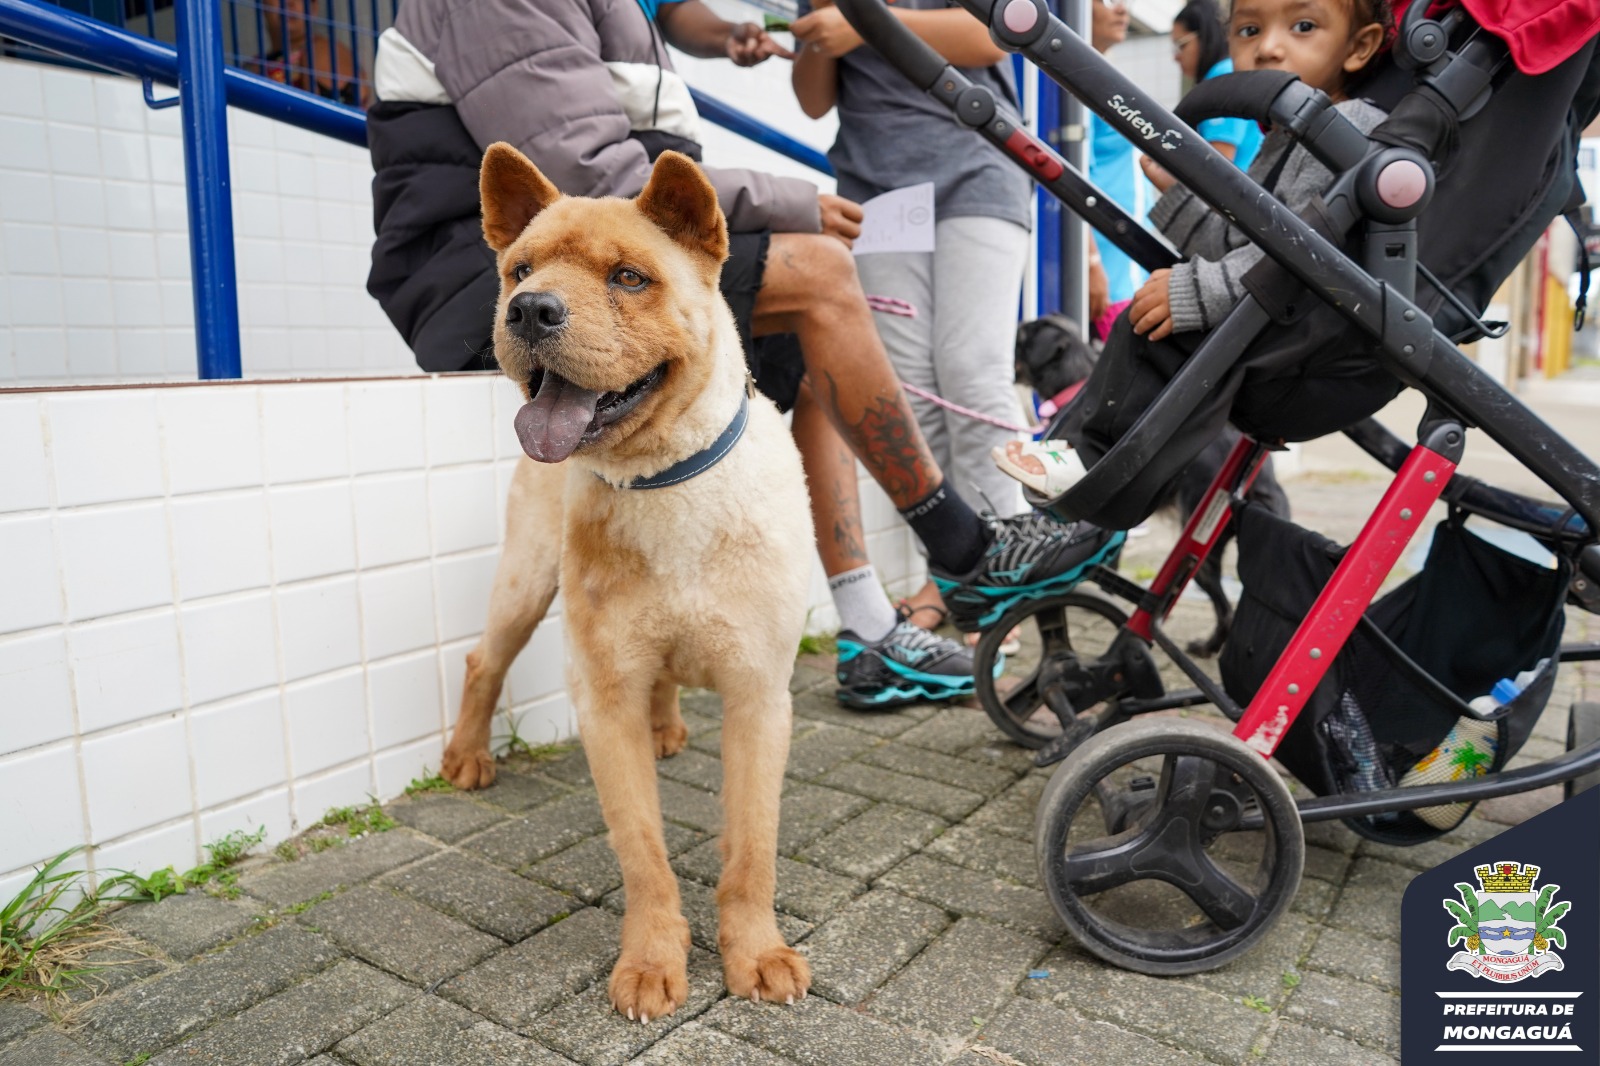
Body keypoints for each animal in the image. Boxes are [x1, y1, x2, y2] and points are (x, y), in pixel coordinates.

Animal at [448, 140, 812, 1011]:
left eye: (628, 277)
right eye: (519, 269)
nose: (530, 311)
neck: (664, 481)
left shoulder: (759, 695)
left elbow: (752, 848)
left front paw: (756, 950)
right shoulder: (602, 697)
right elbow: (643, 852)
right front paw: (651, 959)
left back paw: (668, 725)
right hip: (525, 582)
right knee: (483, 661)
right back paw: (467, 754)